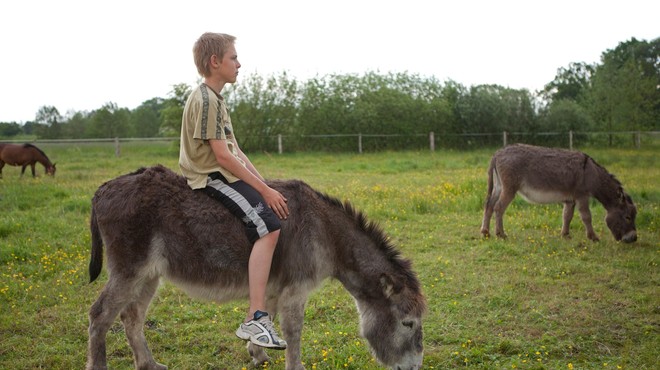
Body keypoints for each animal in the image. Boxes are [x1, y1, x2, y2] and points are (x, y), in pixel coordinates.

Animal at [86, 165, 428, 370]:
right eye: (408, 323)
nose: (415, 367)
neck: (326, 231)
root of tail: (103, 188)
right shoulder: (296, 289)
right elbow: (294, 330)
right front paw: (294, 366)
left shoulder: (276, 285)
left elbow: (268, 316)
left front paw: (258, 352)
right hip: (129, 269)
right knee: (100, 314)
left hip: (149, 275)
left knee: (131, 316)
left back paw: (148, 364)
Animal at [482, 144, 636, 243]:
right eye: (628, 217)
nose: (634, 239)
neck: (592, 174)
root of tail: (497, 153)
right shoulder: (582, 195)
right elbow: (586, 217)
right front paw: (593, 237)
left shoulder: (570, 199)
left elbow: (567, 216)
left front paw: (565, 235)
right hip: (509, 188)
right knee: (498, 207)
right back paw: (501, 234)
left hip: (498, 186)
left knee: (489, 206)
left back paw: (486, 233)